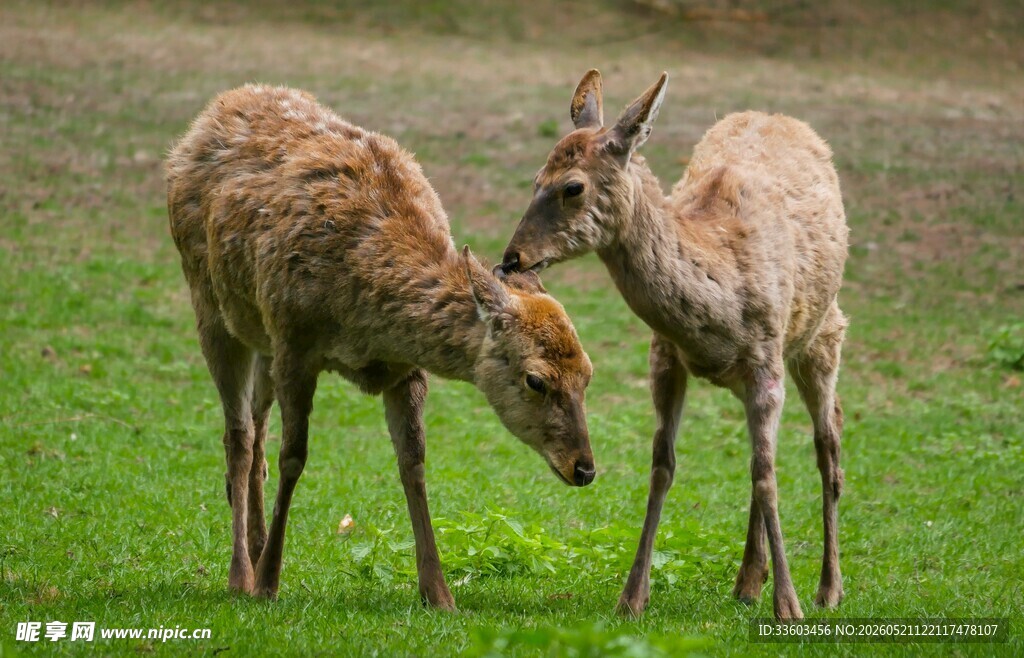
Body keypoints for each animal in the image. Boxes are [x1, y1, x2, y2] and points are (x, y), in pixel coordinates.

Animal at [165, 84, 596, 609]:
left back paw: (257, 540)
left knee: (256, 425)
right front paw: (269, 582)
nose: (584, 468)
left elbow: (413, 463)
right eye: (535, 379)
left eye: (588, 373)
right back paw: (241, 573)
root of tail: (217, 107)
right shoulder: (294, 340)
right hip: (208, 302)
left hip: (259, 333)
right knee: (239, 436)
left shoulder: (404, 368)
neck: (365, 318)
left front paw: (438, 592)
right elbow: (295, 457)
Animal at [500, 70, 849, 620]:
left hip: (822, 330)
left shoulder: (767, 358)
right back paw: (747, 582)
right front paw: (631, 597)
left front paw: (788, 605)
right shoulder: (663, 353)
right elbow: (664, 465)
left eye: (572, 186)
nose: (512, 258)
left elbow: (767, 473)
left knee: (828, 440)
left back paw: (828, 587)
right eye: (536, 178)